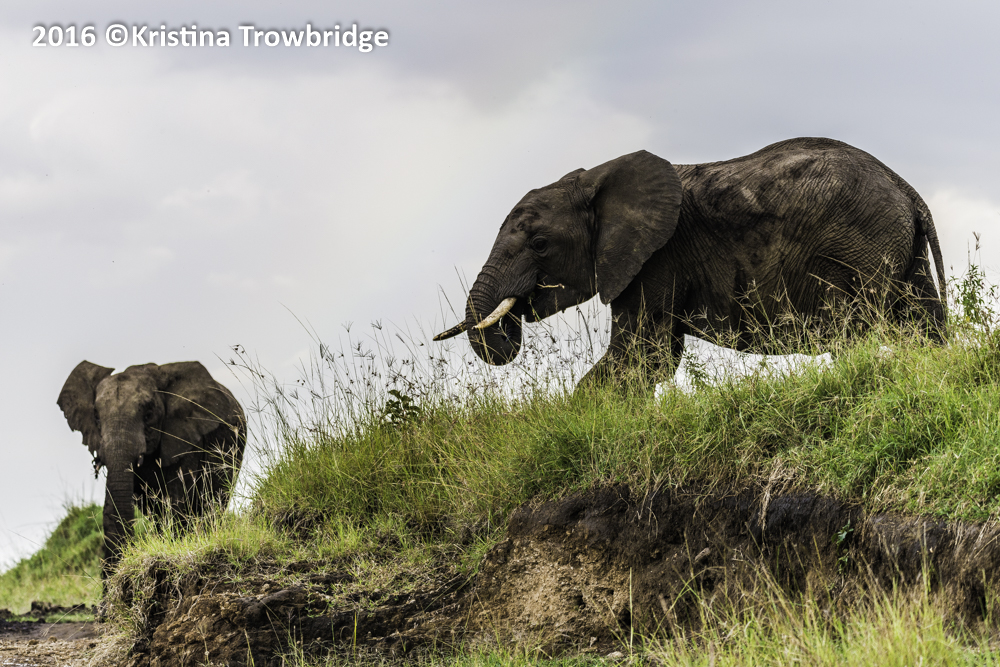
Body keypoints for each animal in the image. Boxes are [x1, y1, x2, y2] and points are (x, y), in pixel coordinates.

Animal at [434, 137, 946, 386]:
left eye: (540, 244)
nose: (508, 330)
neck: (594, 179)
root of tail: (907, 190)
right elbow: (655, 359)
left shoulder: (657, 258)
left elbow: (640, 359)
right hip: (903, 253)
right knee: (923, 326)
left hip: (858, 249)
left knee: (857, 329)